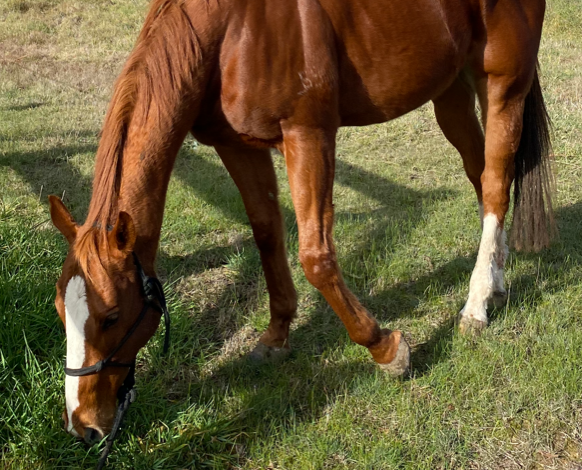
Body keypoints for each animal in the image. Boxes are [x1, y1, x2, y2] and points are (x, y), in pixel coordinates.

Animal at [48, 0, 556, 444]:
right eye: (60, 310)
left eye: (112, 316)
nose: (83, 425)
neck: (230, 32)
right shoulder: (238, 146)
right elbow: (266, 233)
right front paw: (276, 334)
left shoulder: (307, 136)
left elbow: (316, 256)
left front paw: (387, 350)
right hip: (449, 88)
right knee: (480, 175)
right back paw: (496, 281)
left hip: (504, 82)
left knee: (495, 184)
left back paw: (476, 305)